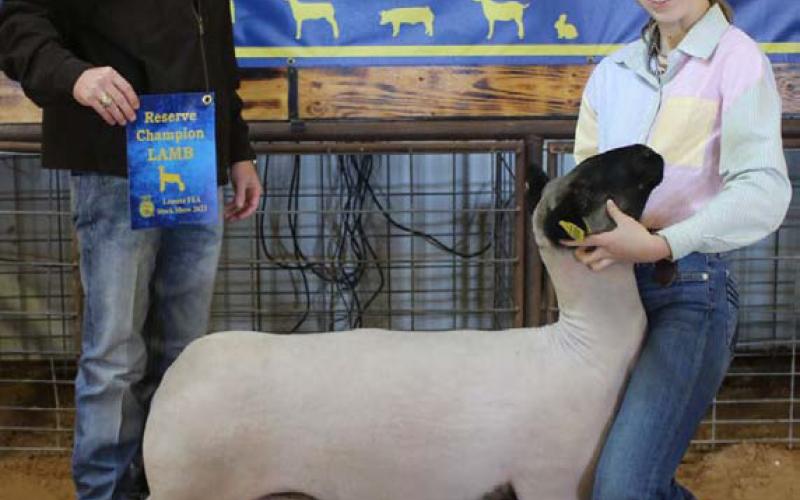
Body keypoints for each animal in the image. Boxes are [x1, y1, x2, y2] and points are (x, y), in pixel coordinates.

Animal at [143, 144, 664, 500]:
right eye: (588, 184)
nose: (651, 153)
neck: (585, 346)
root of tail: (175, 376)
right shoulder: (549, 476)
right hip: (187, 486)